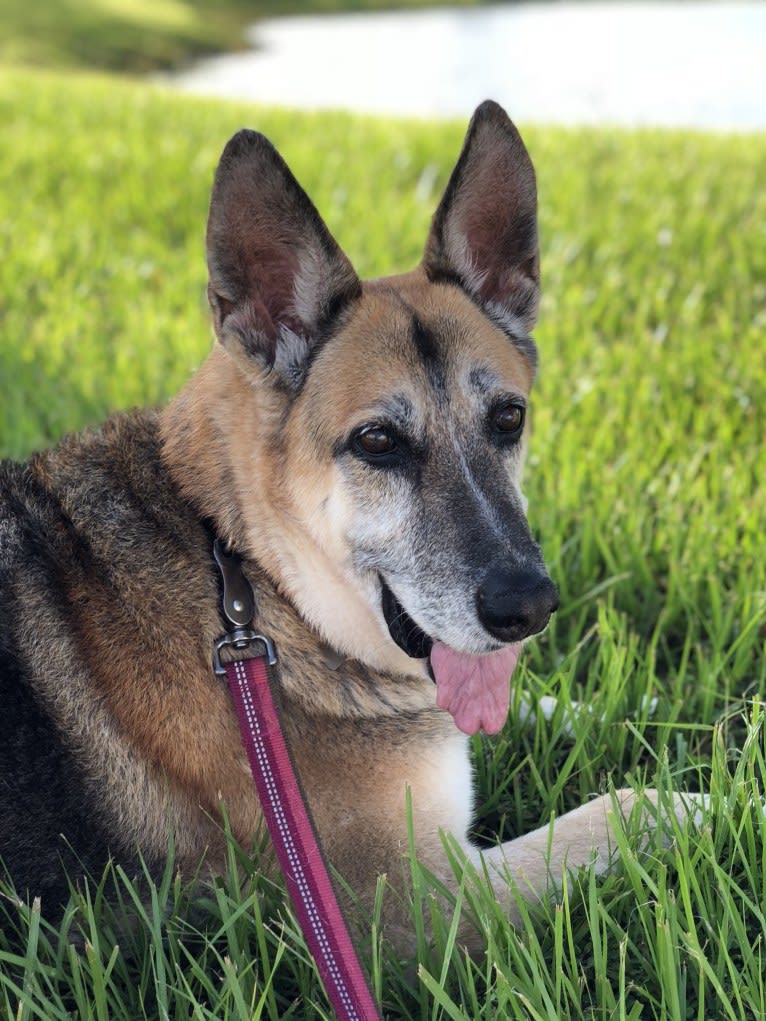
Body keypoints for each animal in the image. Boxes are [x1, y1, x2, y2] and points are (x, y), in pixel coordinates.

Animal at [1, 99, 694, 951]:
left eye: (508, 418)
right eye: (377, 441)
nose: (528, 608)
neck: (248, 577)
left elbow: (556, 703)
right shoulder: (422, 908)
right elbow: (628, 804)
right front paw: (726, 796)